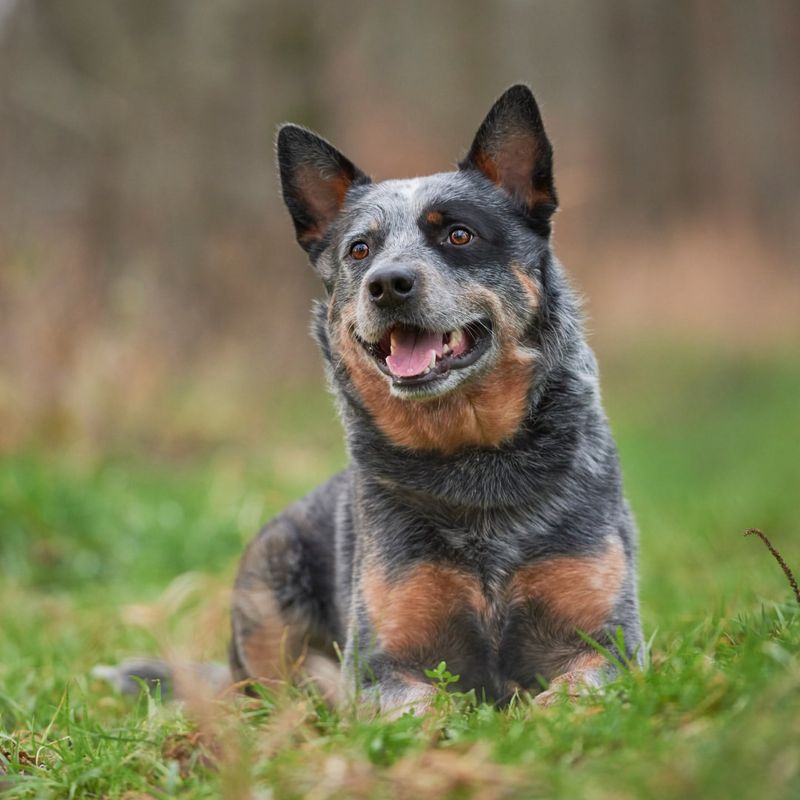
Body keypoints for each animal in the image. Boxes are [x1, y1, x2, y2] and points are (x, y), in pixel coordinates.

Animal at [227, 87, 644, 712]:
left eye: (459, 235)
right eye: (359, 249)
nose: (387, 283)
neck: (473, 462)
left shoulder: (610, 642)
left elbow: (572, 690)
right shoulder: (382, 666)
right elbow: (428, 705)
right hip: (267, 573)